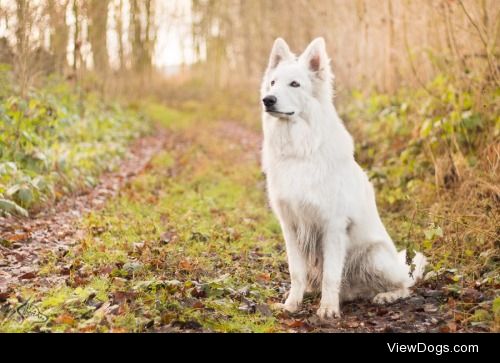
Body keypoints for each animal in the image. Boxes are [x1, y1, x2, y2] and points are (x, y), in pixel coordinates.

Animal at [260, 38, 428, 320]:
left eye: (294, 84)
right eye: (273, 82)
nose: (267, 100)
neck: (300, 150)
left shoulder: (333, 226)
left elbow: (330, 275)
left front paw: (328, 309)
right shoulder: (290, 227)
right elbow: (296, 272)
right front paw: (291, 305)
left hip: (374, 256)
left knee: (405, 285)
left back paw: (385, 295)